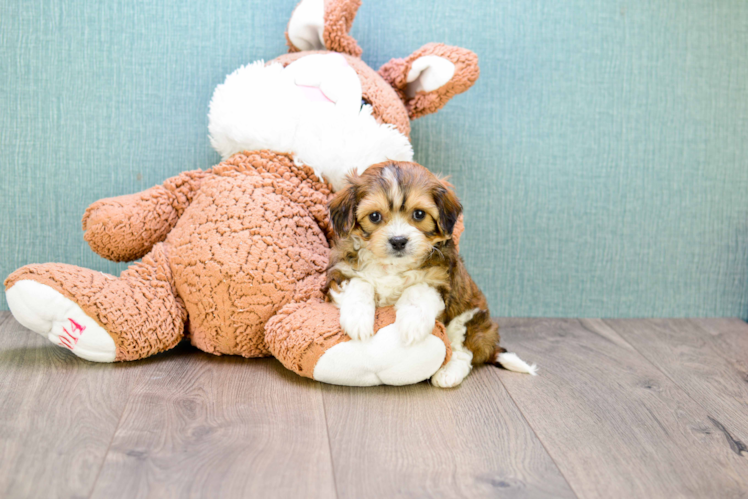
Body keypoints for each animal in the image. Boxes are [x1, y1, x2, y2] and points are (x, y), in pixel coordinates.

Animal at [324, 160, 536, 386]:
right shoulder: (340, 273)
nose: (398, 241)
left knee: (463, 352)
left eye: (419, 214)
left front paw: (412, 324)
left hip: (468, 318)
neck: (393, 265)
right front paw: (358, 320)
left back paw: (448, 373)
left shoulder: (441, 280)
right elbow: (360, 283)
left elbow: (418, 290)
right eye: (374, 216)